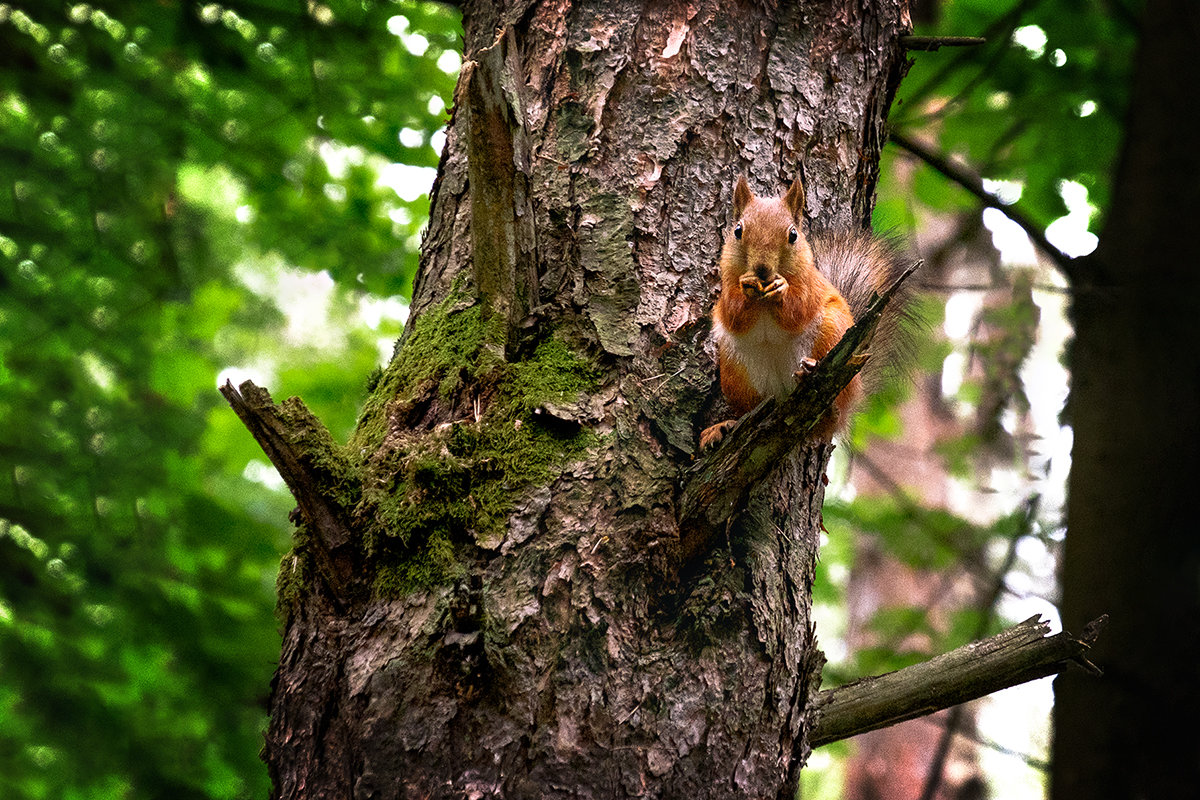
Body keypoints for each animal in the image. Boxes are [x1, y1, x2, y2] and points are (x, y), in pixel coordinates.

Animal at [700, 176, 902, 450]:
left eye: (793, 235)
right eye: (738, 231)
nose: (762, 269)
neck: (764, 301)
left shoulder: (810, 286)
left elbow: (799, 309)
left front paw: (782, 291)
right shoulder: (725, 289)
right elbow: (732, 314)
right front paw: (747, 288)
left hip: (832, 333)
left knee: (832, 409)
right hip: (736, 373)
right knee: (748, 409)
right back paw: (723, 427)